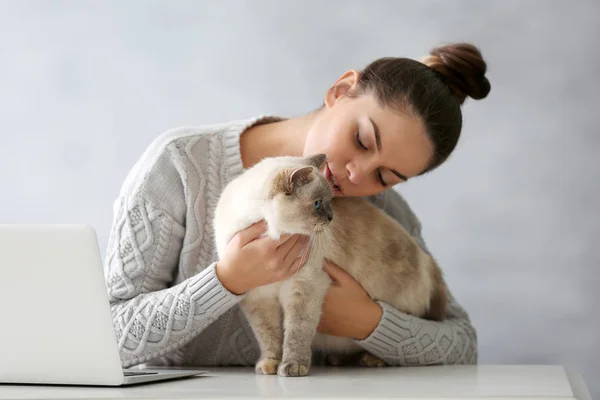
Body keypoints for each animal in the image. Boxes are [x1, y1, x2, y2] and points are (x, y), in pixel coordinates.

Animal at [213, 154, 448, 378]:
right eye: (317, 204)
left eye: (330, 202)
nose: (330, 217)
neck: (266, 231)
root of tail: (428, 261)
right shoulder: (259, 298)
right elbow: (268, 336)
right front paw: (270, 364)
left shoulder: (303, 288)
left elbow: (296, 333)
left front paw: (293, 366)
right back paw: (335, 360)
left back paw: (370, 360)